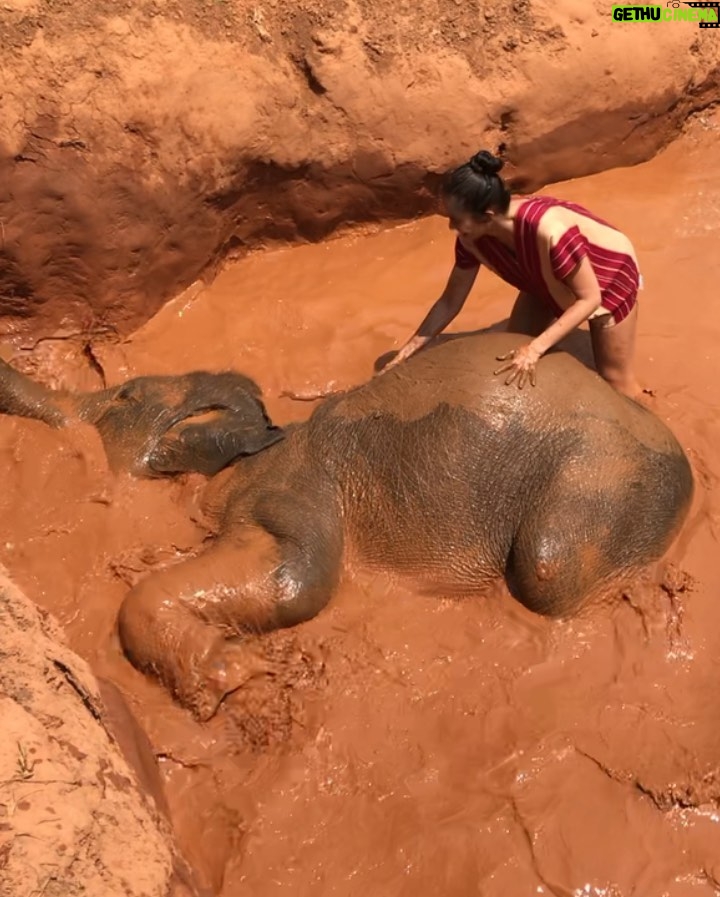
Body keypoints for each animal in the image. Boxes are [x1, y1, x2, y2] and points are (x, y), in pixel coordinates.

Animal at [1, 330, 696, 720]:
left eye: (126, 395)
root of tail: (689, 471)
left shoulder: (293, 483)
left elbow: (299, 579)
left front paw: (240, 678)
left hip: (603, 481)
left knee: (551, 568)